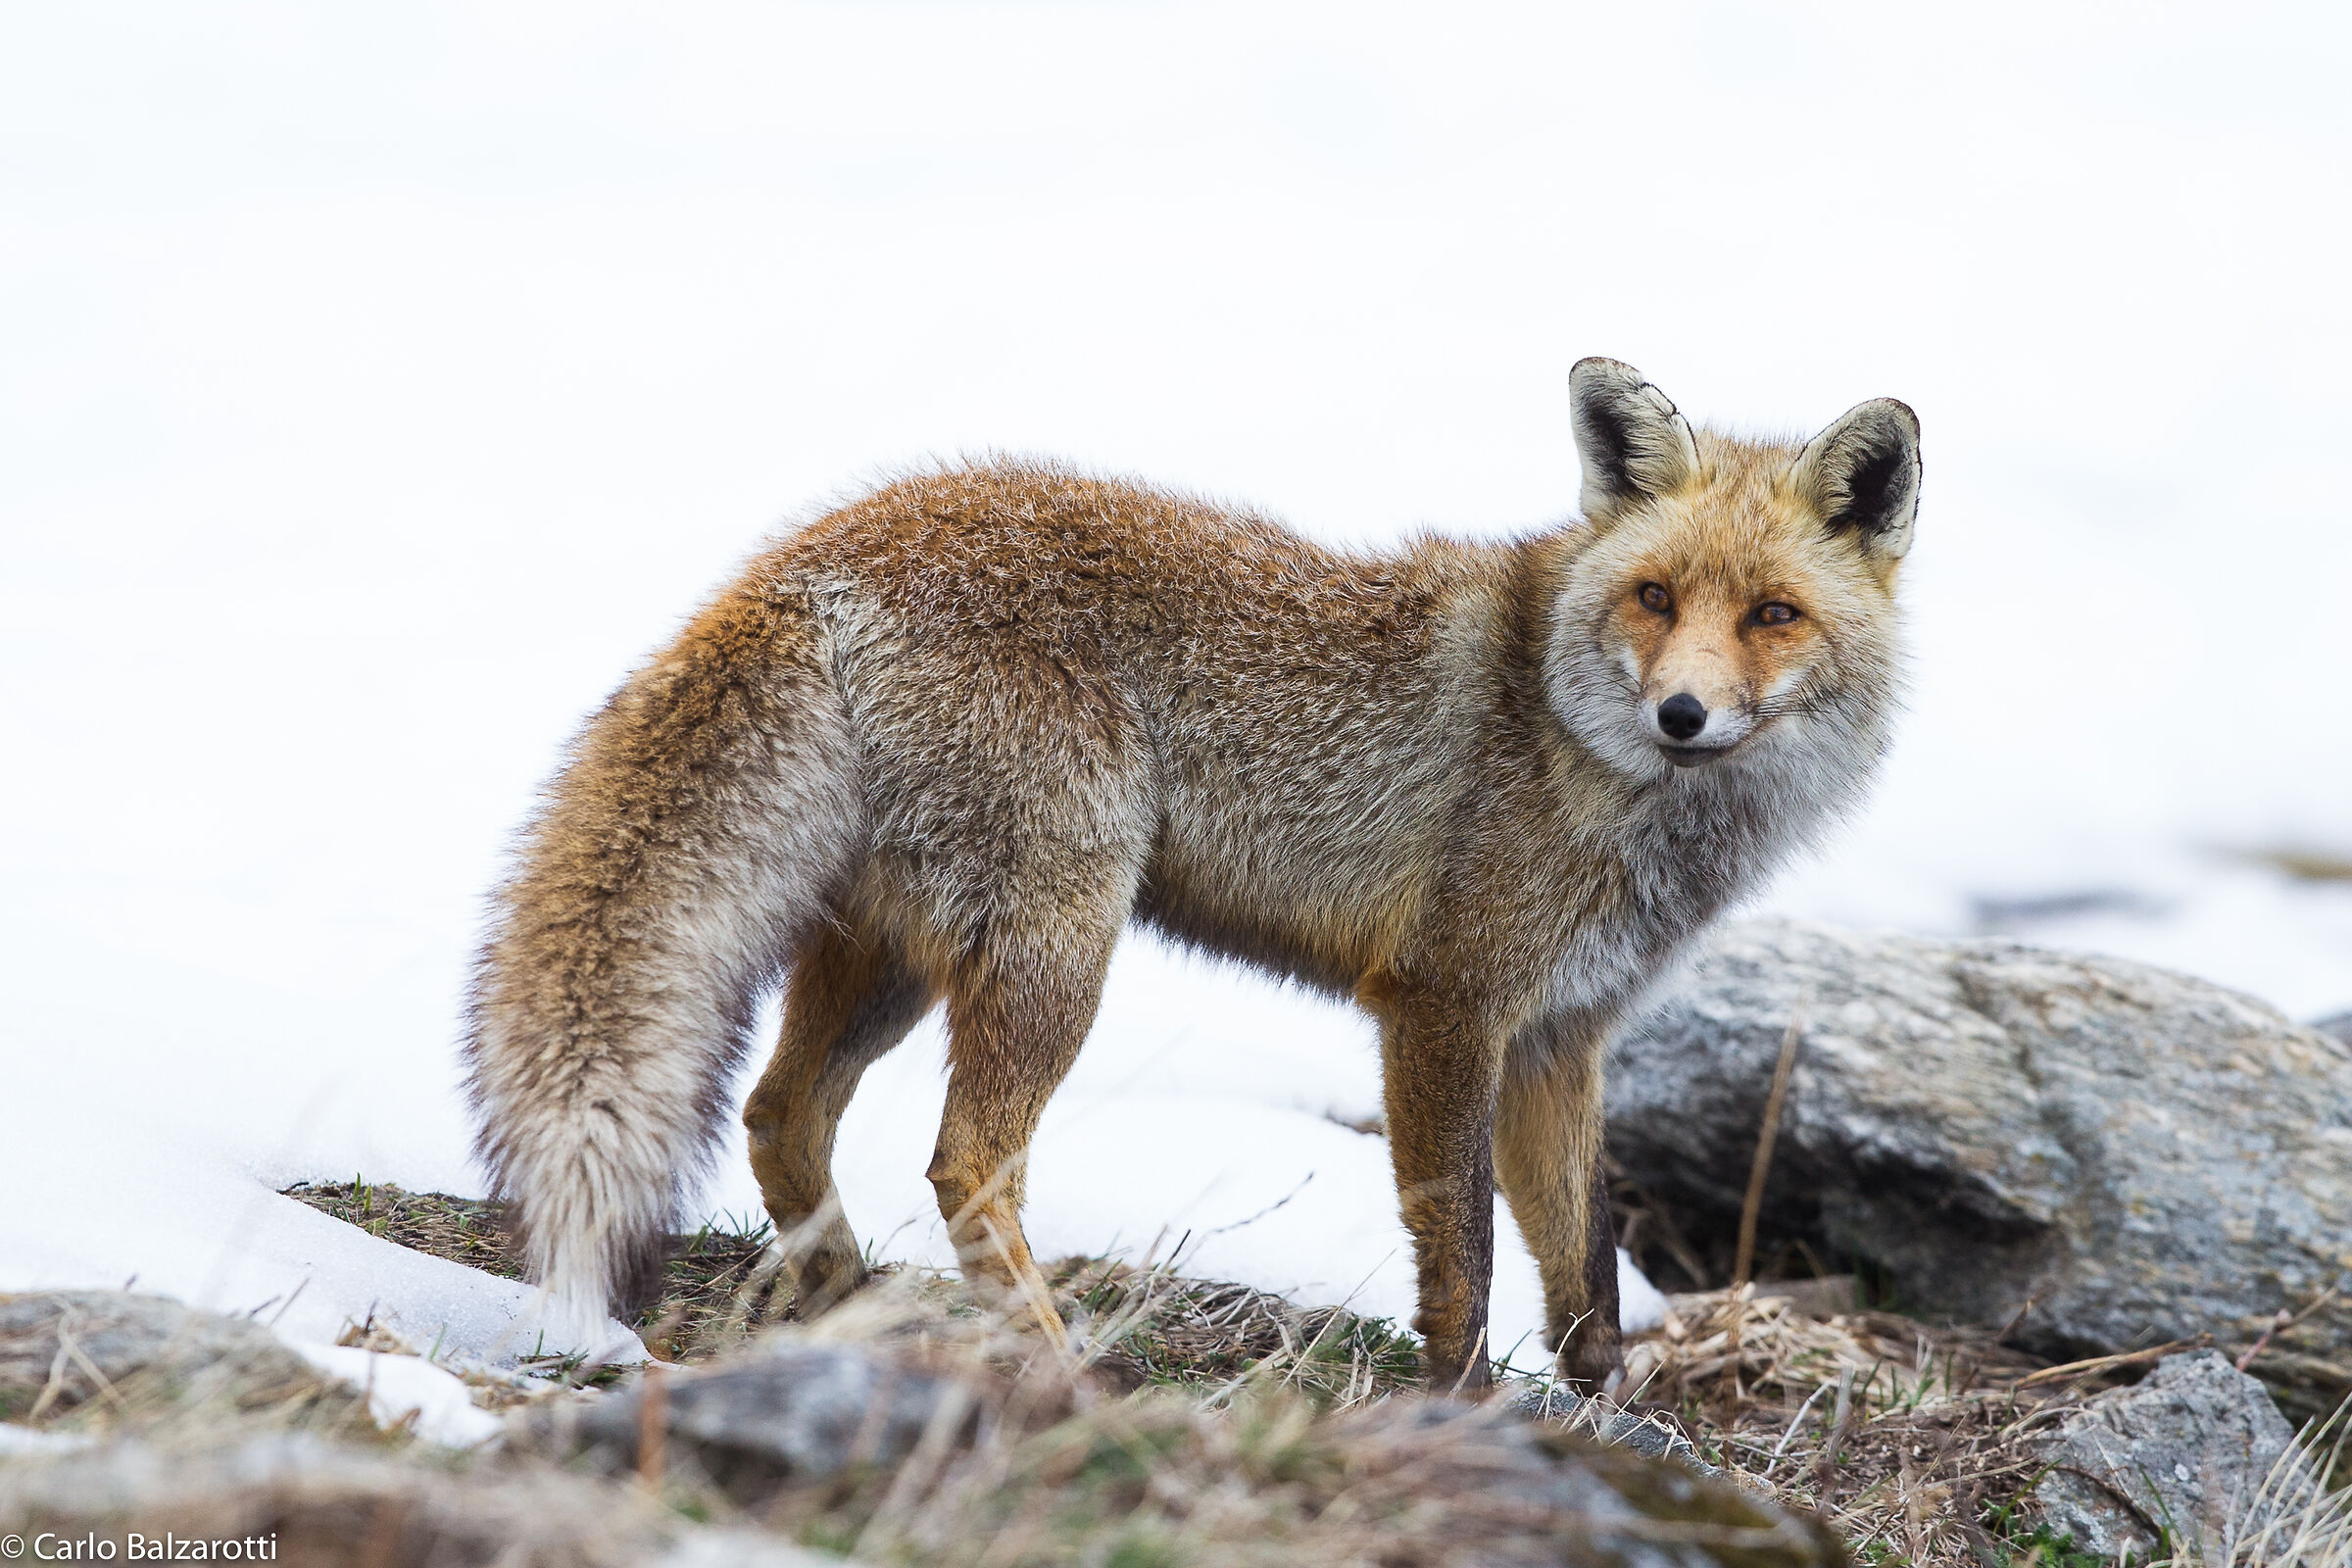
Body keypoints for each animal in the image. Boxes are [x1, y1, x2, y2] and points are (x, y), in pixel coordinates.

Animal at [463, 358, 1919, 1391]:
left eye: (1773, 615)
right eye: (1657, 597)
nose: (1683, 715)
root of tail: (813, 550)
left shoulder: (1563, 1037)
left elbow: (1586, 1282)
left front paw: (1604, 1423)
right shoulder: (1443, 1008)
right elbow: (1462, 1258)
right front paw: (1461, 1411)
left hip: (892, 957)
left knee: (780, 1116)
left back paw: (851, 1309)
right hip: (1059, 944)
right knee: (965, 1165)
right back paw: (1055, 1365)